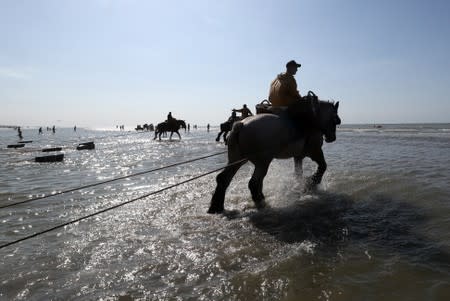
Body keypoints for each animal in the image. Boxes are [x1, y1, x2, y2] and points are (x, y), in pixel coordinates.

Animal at [208, 99, 342, 212]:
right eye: (335, 120)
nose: (332, 138)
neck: (312, 119)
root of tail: (241, 125)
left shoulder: (298, 156)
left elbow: (298, 173)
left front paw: (300, 186)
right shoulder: (315, 151)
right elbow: (323, 166)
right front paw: (312, 182)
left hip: (237, 159)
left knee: (223, 178)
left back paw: (216, 206)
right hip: (263, 161)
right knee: (254, 183)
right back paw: (261, 203)